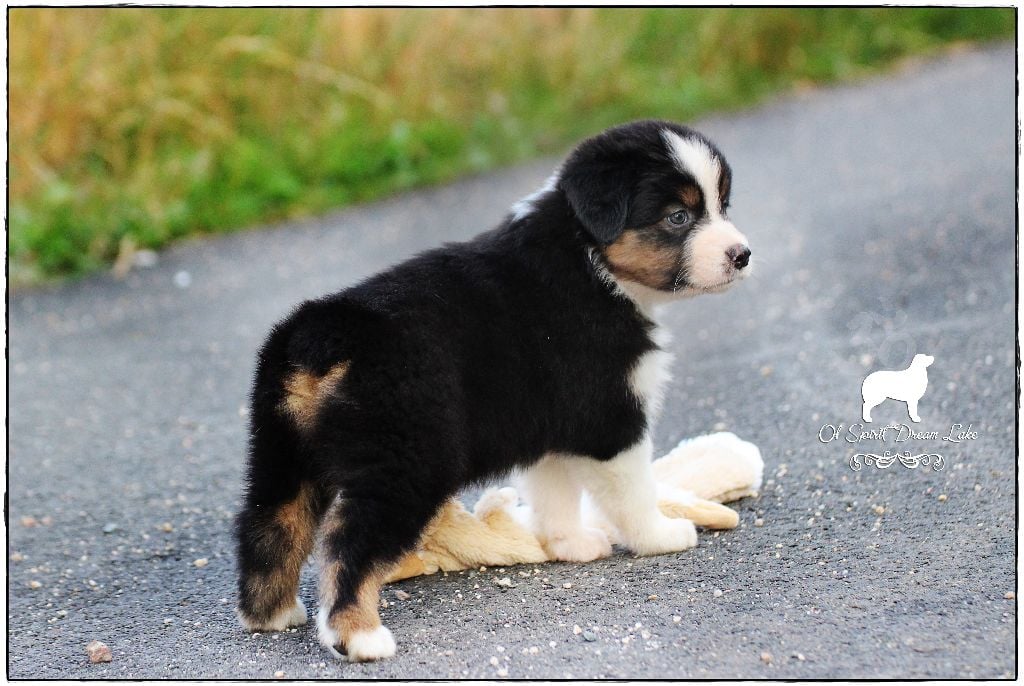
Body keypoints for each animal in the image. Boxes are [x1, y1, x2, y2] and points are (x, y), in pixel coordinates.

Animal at [237, 120, 753, 663]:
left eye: (723, 206)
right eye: (679, 217)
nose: (742, 255)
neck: (589, 257)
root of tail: (324, 336)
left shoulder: (553, 424)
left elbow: (554, 492)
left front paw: (571, 545)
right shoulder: (611, 418)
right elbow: (632, 490)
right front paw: (660, 536)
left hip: (280, 452)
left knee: (268, 526)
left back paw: (272, 615)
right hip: (406, 460)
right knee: (349, 541)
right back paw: (358, 635)